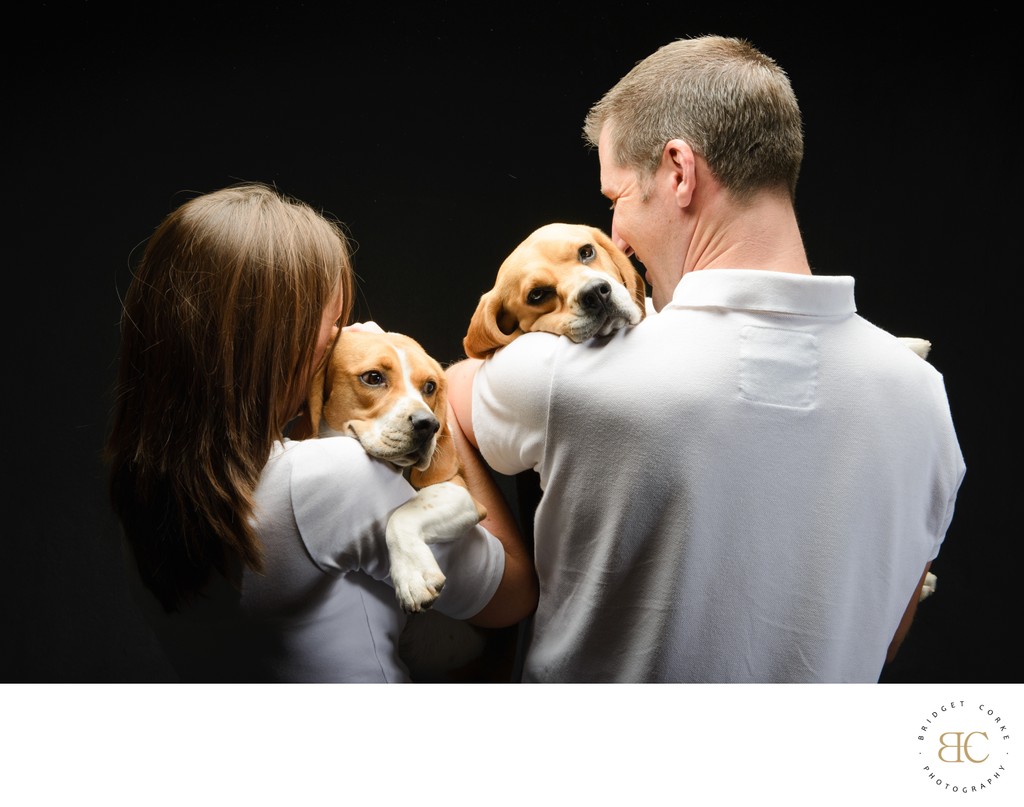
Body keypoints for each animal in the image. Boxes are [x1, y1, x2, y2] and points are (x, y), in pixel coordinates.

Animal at [292, 327, 487, 610]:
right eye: (373, 377)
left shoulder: (461, 493)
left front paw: (412, 573)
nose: (429, 424)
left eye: (430, 386)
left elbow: (403, 515)